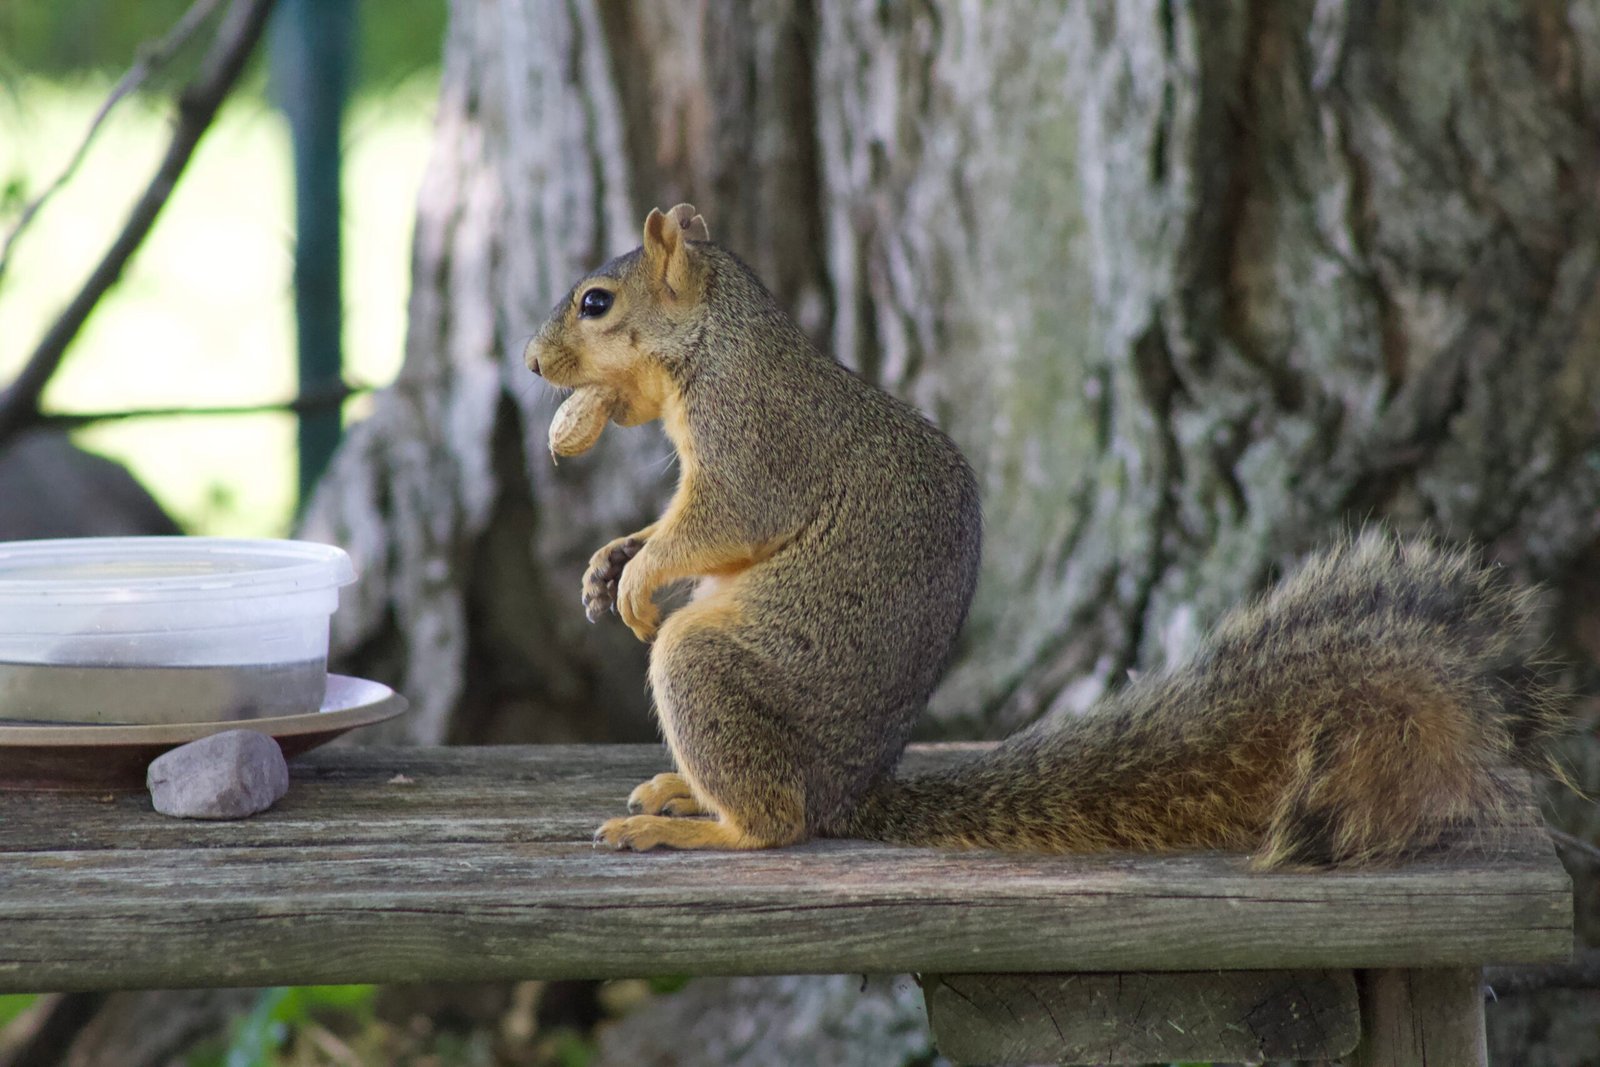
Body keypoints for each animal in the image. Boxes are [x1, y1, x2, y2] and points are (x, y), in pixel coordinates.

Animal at [525, 202, 1567, 869]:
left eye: (595, 302)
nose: (533, 362)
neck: (715, 344)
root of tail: (851, 788)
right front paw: (613, 558)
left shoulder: (755, 437)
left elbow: (724, 518)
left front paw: (641, 572)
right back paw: (679, 791)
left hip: (710, 669)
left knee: (777, 820)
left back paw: (696, 826)